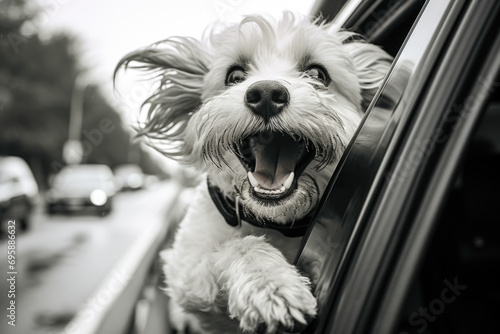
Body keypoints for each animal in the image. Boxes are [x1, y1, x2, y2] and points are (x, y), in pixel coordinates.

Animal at [116, 12, 390, 334]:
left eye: (318, 74)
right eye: (234, 76)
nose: (267, 93)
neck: (273, 221)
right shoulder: (186, 271)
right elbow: (239, 246)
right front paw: (271, 284)